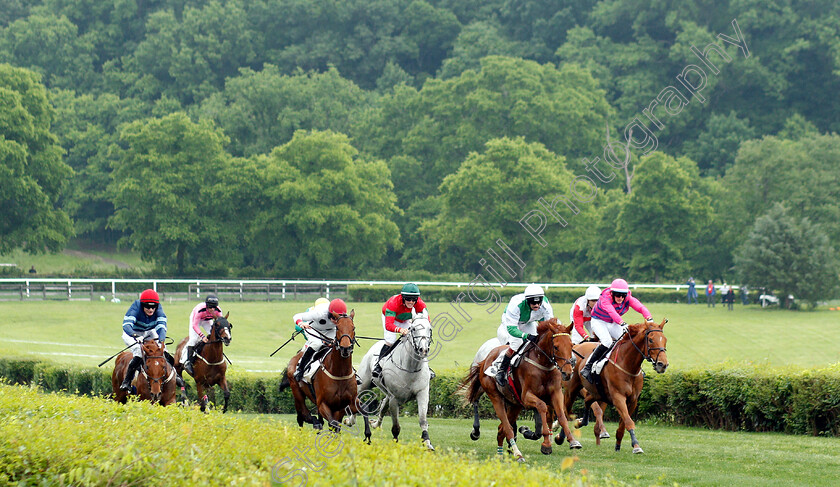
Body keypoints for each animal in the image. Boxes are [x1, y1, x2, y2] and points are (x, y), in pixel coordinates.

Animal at [280, 310, 370, 440]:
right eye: (337, 327)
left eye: (353, 327)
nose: (345, 348)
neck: (339, 373)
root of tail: (298, 355)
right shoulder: (323, 404)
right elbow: (332, 423)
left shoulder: (349, 402)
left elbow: (364, 409)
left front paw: (368, 436)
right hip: (297, 391)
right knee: (303, 414)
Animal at [456, 318, 580, 464]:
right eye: (556, 347)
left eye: (571, 345)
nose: (567, 373)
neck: (542, 364)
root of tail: (486, 358)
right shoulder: (527, 397)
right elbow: (542, 407)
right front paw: (546, 444)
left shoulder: (556, 393)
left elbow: (561, 415)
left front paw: (572, 441)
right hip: (495, 397)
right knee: (507, 428)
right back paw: (517, 454)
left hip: (514, 404)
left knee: (501, 429)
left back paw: (501, 454)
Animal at [564, 320, 668, 454]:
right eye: (650, 340)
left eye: (664, 339)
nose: (663, 365)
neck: (628, 365)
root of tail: (574, 347)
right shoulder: (618, 397)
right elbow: (628, 421)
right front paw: (636, 446)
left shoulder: (632, 400)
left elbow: (622, 425)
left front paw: (618, 445)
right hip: (572, 390)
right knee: (566, 411)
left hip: (597, 392)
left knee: (587, 402)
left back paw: (581, 422)